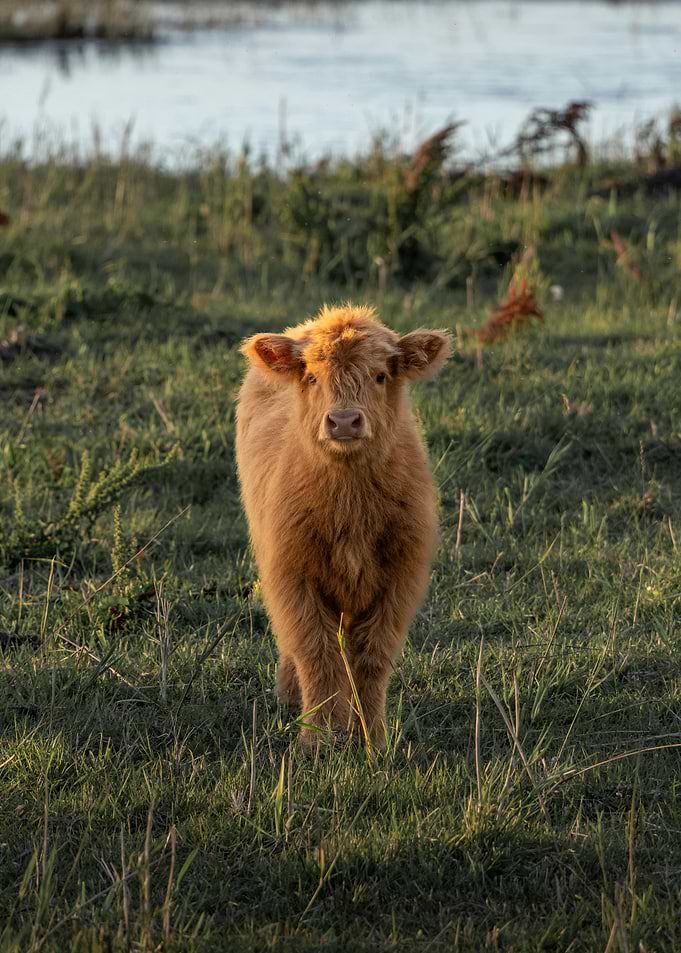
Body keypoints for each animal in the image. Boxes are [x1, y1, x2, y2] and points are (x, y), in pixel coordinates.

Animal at [235, 303, 450, 748]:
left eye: (380, 375)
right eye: (312, 377)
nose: (345, 421)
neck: (351, 509)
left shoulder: (399, 580)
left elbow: (371, 658)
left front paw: (372, 738)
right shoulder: (293, 576)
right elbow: (316, 653)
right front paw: (317, 738)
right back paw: (289, 697)